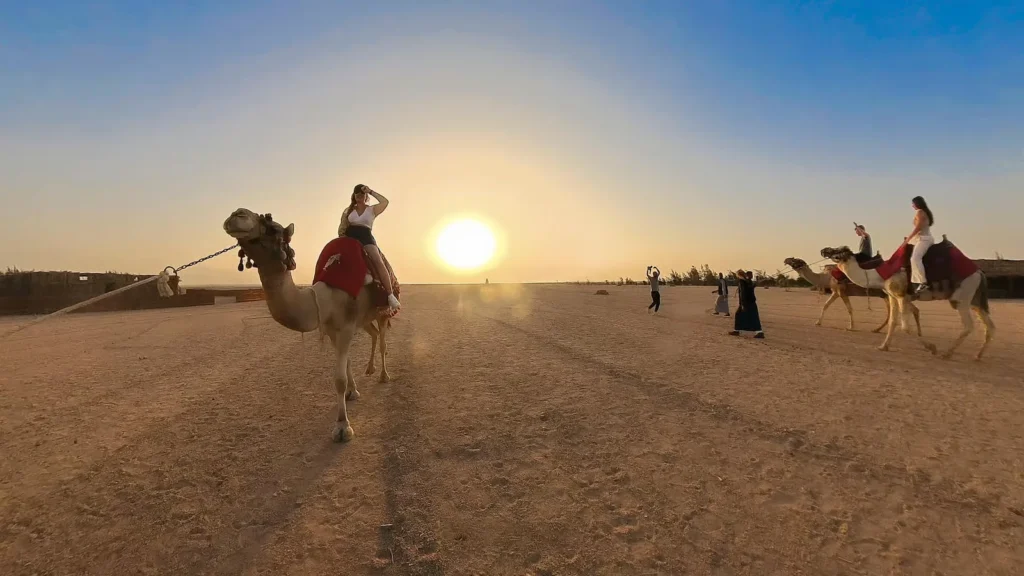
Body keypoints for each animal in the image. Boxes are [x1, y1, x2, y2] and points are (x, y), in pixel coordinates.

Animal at [223, 208, 394, 442]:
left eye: (273, 228)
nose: (237, 214)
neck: (326, 296)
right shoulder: (333, 330)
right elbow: (347, 364)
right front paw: (352, 392)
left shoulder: (346, 327)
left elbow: (339, 378)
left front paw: (343, 427)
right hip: (365, 318)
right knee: (374, 334)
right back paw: (369, 369)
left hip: (382, 311)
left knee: (383, 339)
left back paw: (384, 376)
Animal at [821, 240, 994, 360]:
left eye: (838, 250)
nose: (823, 250)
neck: (880, 275)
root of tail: (980, 273)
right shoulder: (892, 296)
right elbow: (893, 322)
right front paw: (883, 346)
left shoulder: (901, 295)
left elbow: (904, 326)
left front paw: (931, 348)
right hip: (975, 300)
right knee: (990, 325)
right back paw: (978, 356)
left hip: (962, 297)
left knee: (968, 325)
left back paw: (947, 353)